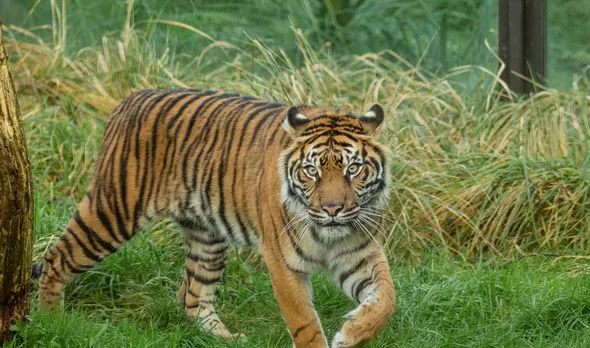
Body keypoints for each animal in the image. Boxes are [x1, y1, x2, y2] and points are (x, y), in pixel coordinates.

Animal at [34, 89, 400, 348]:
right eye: (312, 171)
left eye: (353, 169)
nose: (332, 209)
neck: (329, 234)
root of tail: (131, 98)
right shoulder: (282, 261)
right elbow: (304, 321)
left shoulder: (360, 253)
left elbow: (386, 299)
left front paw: (351, 333)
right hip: (113, 212)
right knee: (56, 259)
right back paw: (50, 320)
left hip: (206, 239)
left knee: (193, 296)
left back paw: (224, 339)